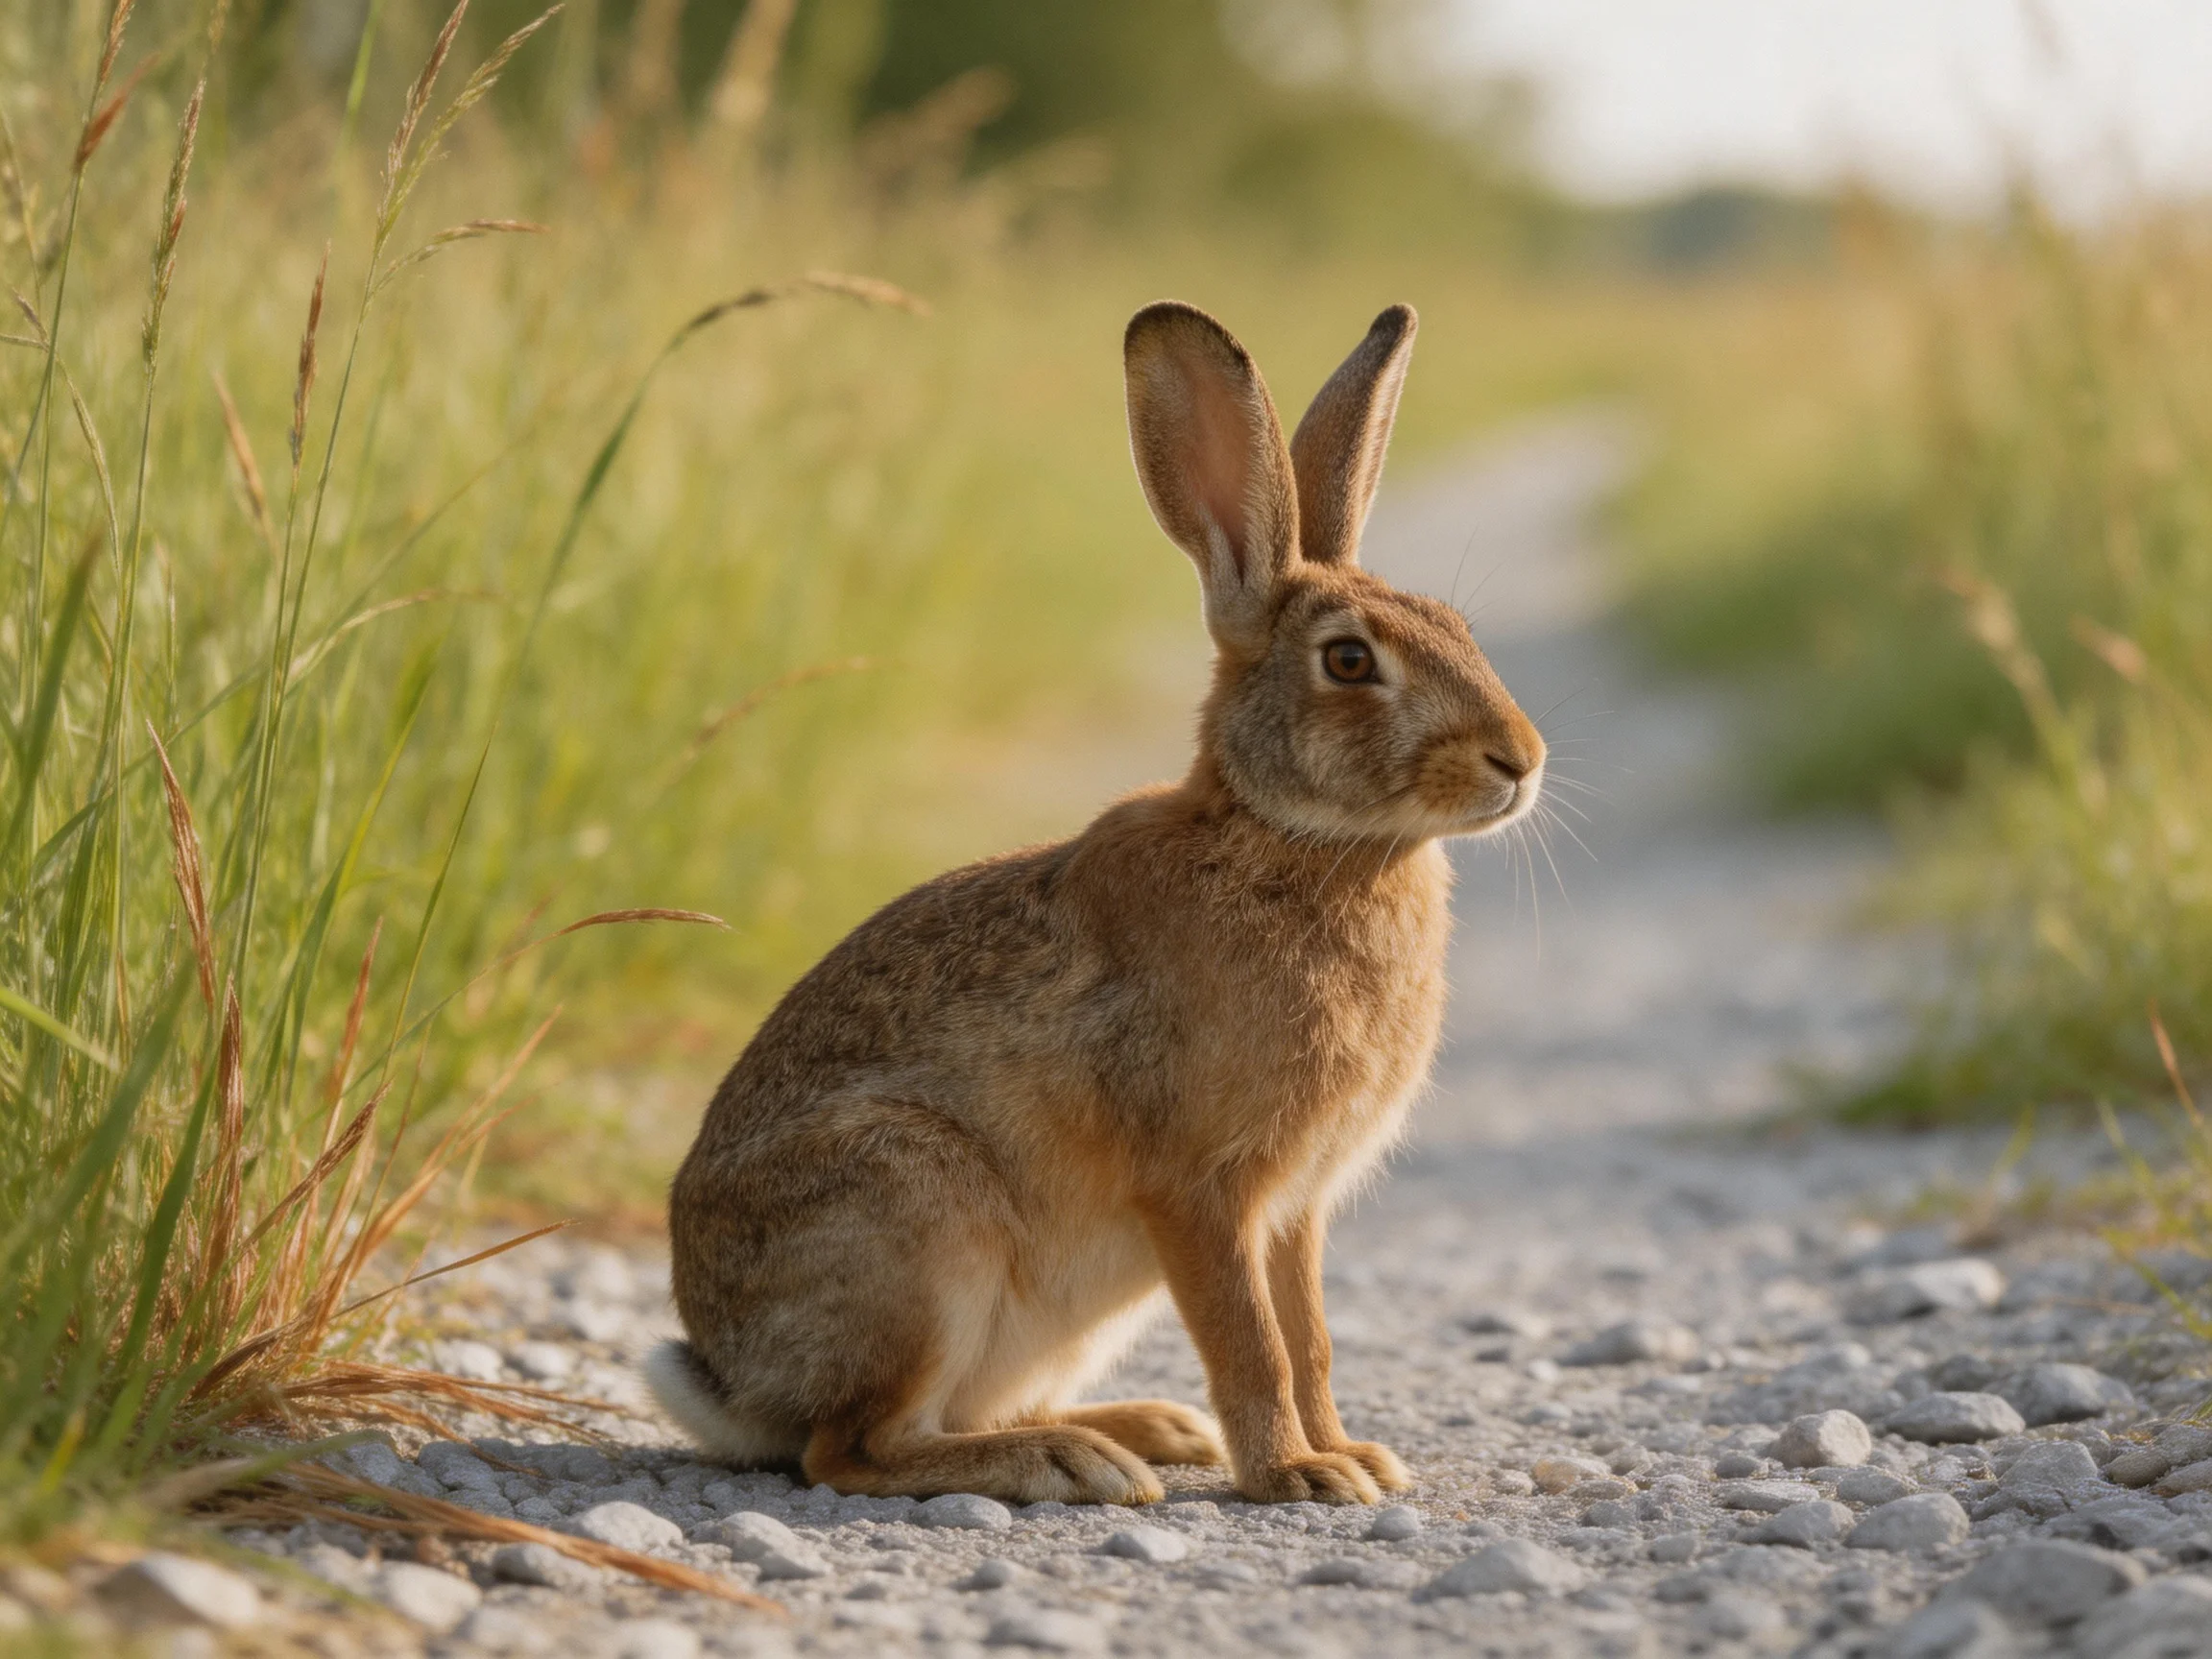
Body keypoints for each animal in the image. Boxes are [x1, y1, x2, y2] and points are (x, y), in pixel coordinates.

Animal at [648, 300, 1545, 1506]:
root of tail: (727, 1379)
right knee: (853, 1449)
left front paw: (1350, 1457)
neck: (1288, 840)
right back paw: (1070, 1461)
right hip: (916, 1218)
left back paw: (1146, 1429)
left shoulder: (1295, 1209)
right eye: (1351, 662)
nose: (1519, 761)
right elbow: (1251, 1342)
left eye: (1458, 626)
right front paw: (1296, 1476)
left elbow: (1309, 1338)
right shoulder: (1201, 1190)